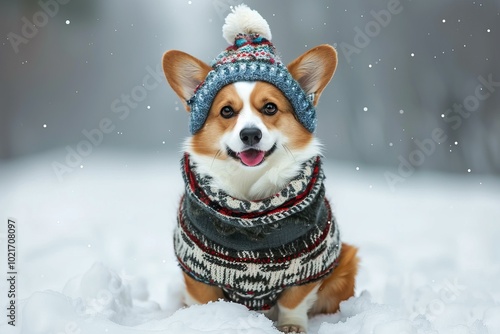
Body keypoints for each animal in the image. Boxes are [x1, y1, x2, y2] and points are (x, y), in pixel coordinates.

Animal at [162, 5, 358, 334]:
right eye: (227, 111)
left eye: (270, 108)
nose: (250, 134)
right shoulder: (196, 271)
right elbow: (204, 299)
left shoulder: (310, 265)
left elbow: (294, 300)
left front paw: (292, 326)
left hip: (347, 262)